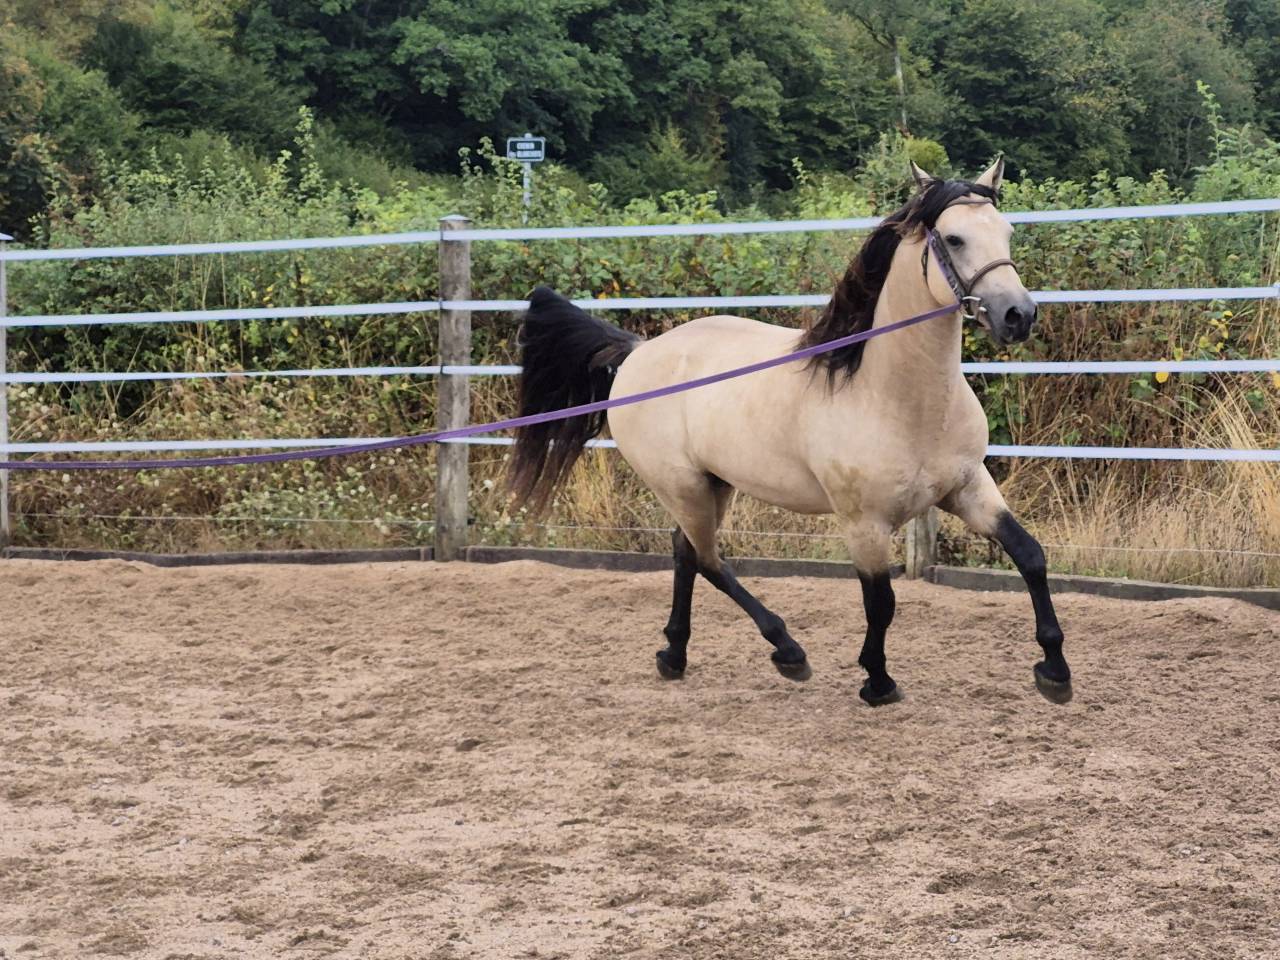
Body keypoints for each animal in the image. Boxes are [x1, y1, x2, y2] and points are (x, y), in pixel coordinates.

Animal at [509, 157, 1072, 707]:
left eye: (1006, 231)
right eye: (953, 239)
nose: (1018, 315)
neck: (890, 395)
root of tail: (636, 352)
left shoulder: (968, 489)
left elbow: (1030, 555)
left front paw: (1055, 671)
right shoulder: (864, 523)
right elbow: (881, 601)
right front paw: (878, 682)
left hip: (712, 484)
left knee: (685, 553)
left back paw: (675, 655)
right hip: (680, 485)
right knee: (709, 559)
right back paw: (787, 650)